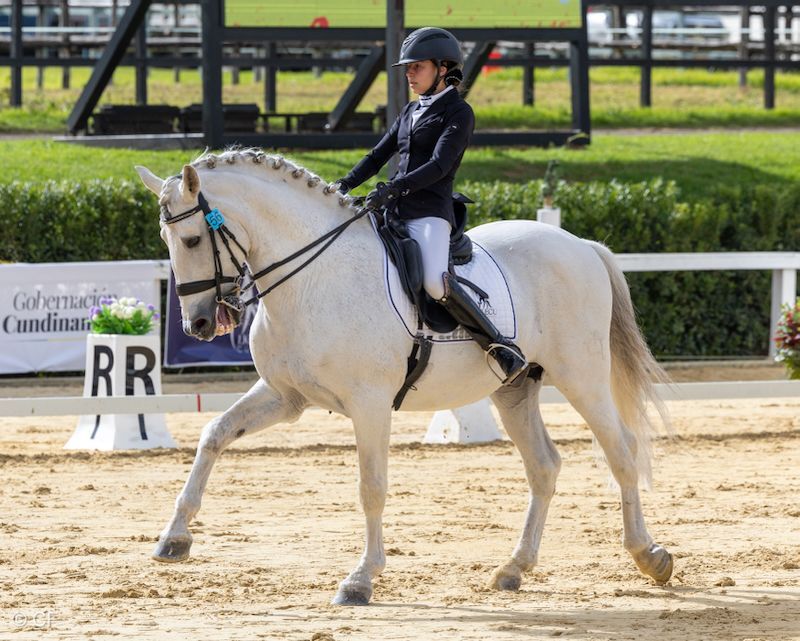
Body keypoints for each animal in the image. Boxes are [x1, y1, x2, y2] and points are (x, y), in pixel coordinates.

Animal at [135, 148, 673, 606]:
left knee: (621, 452)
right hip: (515, 388)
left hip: (581, 376)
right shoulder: (285, 396)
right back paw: (514, 568)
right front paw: (174, 538)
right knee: (544, 466)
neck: (313, 278)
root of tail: (580, 244)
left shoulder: (369, 403)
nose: (200, 324)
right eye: (166, 241)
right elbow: (214, 434)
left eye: (192, 239)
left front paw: (360, 580)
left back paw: (650, 556)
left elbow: (371, 486)